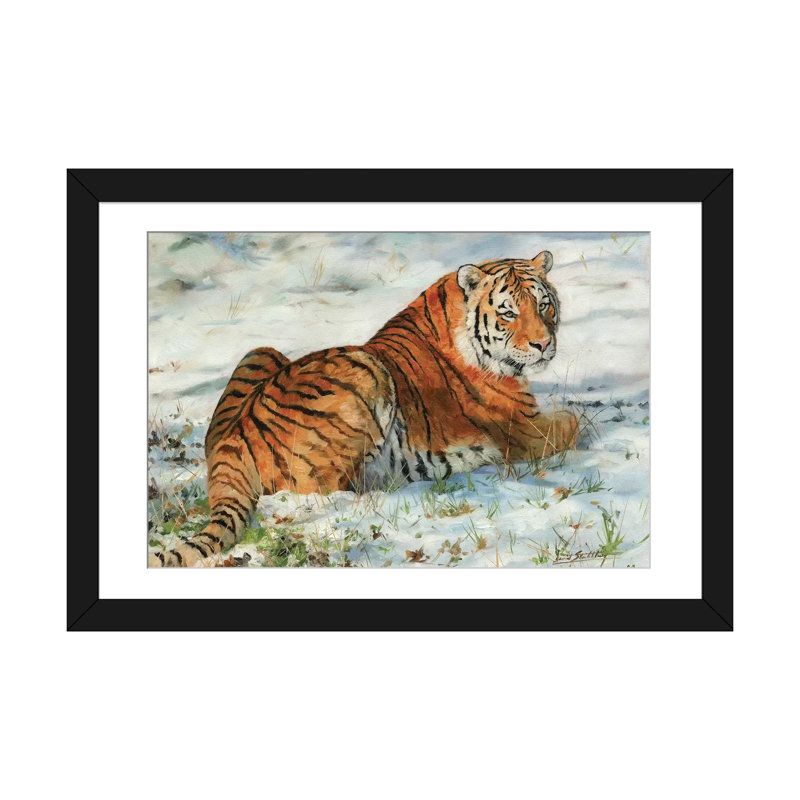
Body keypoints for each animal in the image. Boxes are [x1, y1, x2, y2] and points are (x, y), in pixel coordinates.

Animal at [149, 250, 578, 567]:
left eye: (545, 305)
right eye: (508, 312)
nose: (544, 345)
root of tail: (230, 444)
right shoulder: (528, 430)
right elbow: (578, 422)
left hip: (261, 352)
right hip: (367, 369)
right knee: (326, 491)